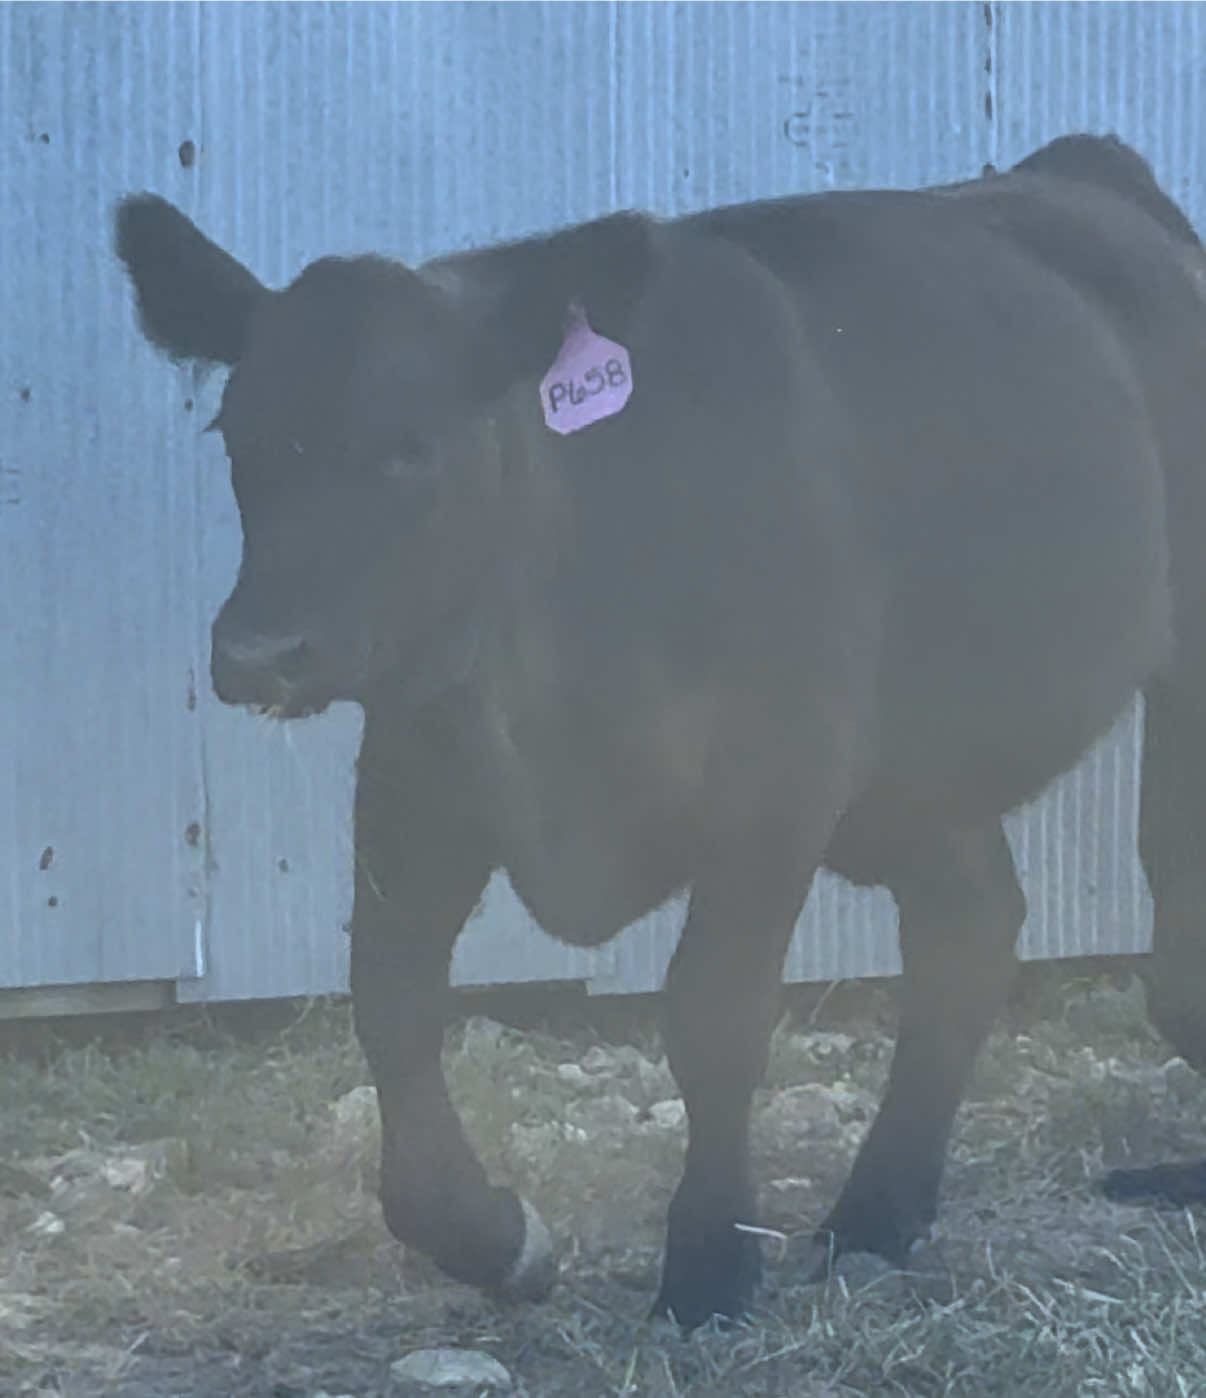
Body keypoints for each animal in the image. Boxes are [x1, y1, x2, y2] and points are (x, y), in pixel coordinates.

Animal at [115, 134, 1206, 1329]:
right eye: (238, 437)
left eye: (411, 448)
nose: (259, 650)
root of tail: (1086, 171)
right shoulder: (418, 771)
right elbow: (390, 1005)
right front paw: (494, 1239)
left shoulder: (778, 784)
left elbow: (713, 1012)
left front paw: (709, 1263)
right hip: (912, 766)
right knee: (971, 927)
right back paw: (876, 1214)